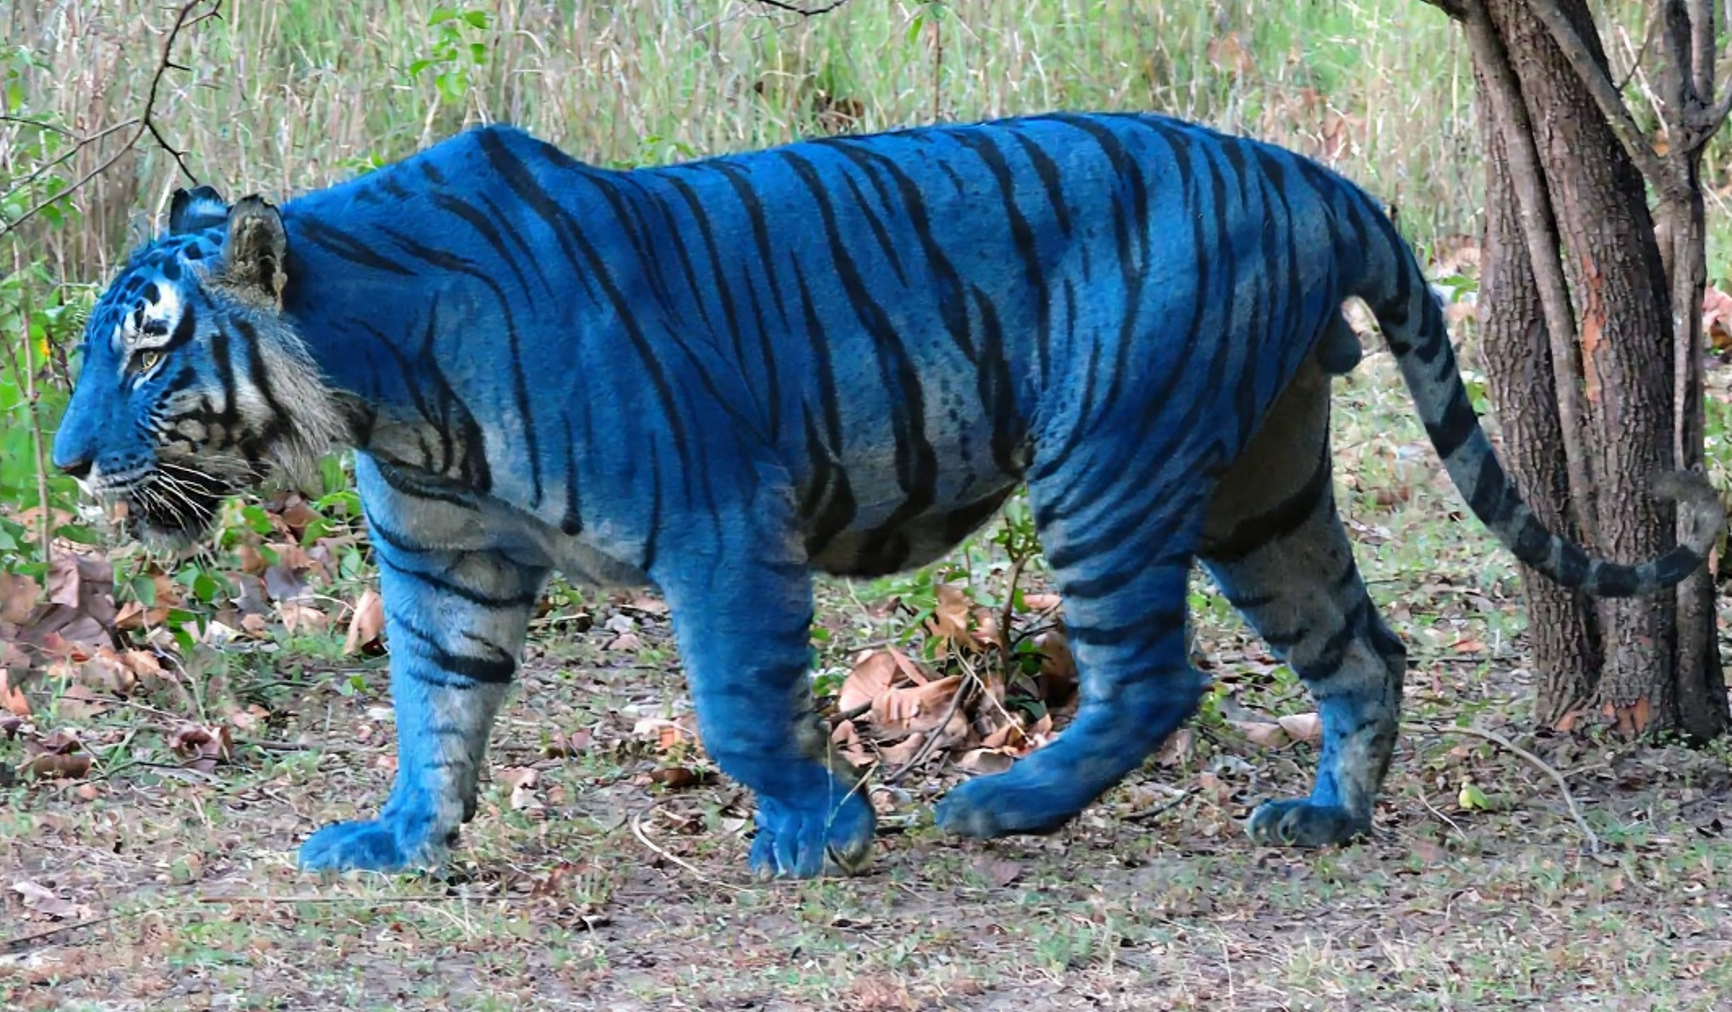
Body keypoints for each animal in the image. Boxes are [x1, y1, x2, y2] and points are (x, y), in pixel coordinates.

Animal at [53, 112, 1722, 879]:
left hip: (1112, 461)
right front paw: (399, 838)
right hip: (1267, 482)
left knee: (1157, 673)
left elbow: (739, 701)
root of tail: (1307, 172)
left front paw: (819, 830)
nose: (62, 464)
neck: (380, 385)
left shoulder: (720, 521)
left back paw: (1004, 803)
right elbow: (434, 706)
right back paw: (1325, 818)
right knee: (1361, 646)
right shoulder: (445, 563)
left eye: (148, 348)